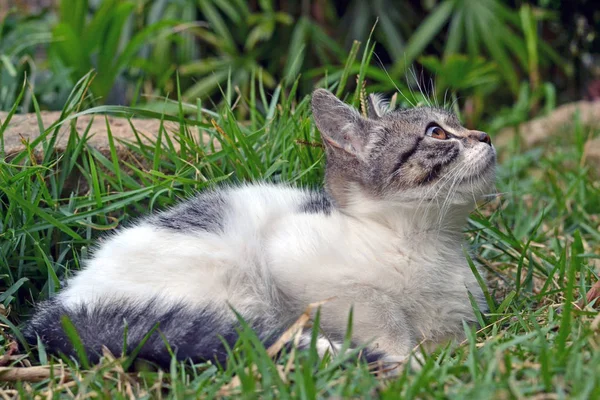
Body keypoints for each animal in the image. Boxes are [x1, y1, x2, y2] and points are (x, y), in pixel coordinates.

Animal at [23, 89, 494, 370]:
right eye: (437, 133)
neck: (425, 243)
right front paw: (403, 354)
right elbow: (374, 305)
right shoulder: (292, 253)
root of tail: (60, 311)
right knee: (251, 336)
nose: (486, 136)